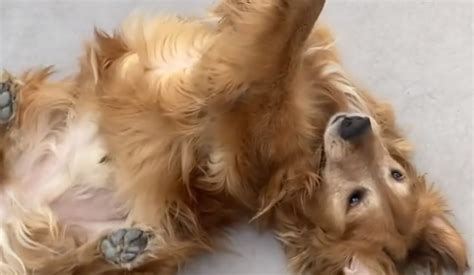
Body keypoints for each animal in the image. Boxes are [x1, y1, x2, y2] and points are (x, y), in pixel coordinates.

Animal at [0, 0, 466, 274]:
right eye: (396, 175)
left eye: (356, 199)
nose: (356, 126)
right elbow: (295, 32)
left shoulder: (232, 111)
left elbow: (279, 46)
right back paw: (8, 101)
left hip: (120, 245)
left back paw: (123, 248)